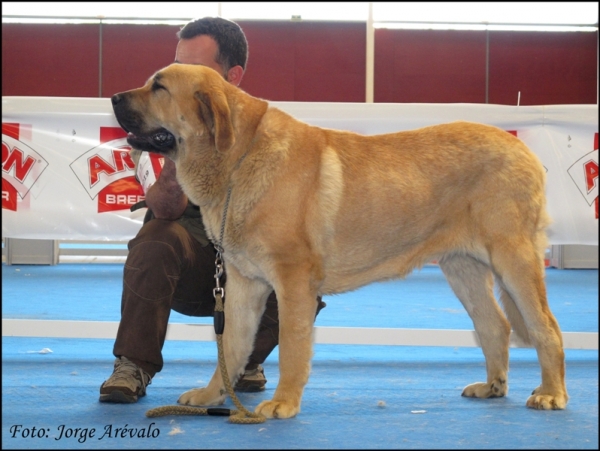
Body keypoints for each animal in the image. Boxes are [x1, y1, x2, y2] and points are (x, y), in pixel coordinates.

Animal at [111, 63, 568, 420]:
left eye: (159, 87)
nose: (113, 96)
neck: (238, 157)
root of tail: (521, 148)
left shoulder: (293, 283)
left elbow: (292, 346)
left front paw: (283, 403)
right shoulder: (244, 282)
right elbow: (232, 345)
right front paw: (211, 395)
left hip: (513, 259)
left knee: (546, 327)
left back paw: (551, 394)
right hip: (463, 268)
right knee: (495, 325)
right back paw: (492, 387)